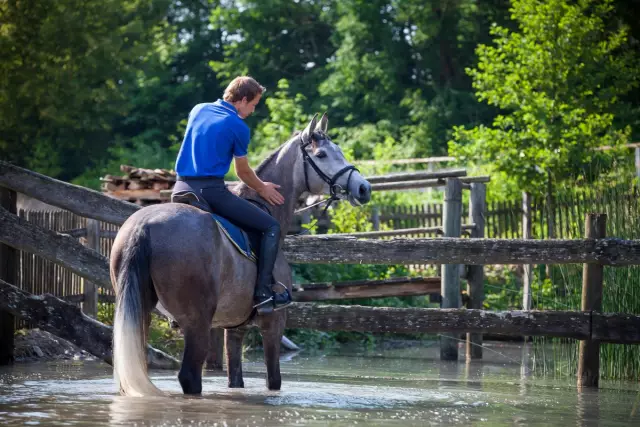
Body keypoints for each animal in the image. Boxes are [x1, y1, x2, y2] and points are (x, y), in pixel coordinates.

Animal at [109, 114, 370, 398]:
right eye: (321, 154)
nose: (363, 188)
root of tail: (144, 226)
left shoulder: (234, 328)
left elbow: (236, 380)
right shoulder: (274, 323)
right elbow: (274, 380)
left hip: (141, 314)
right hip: (197, 322)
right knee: (190, 376)